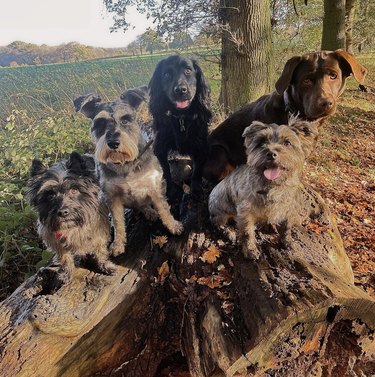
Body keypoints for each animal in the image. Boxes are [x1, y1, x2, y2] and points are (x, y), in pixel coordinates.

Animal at [26, 150, 117, 280]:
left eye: (74, 190)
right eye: (50, 196)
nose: (63, 212)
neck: (72, 226)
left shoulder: (100, 233)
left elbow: (100, 251)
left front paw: (105, 266)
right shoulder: (56, 242)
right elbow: (65, 258)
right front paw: (67, 272)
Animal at [74, 86, 184, 256]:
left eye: (125, 119)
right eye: (100, 123)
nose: (113, 142)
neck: (125, 164)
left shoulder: (154, 187)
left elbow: (164, 209)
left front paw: (173, 226)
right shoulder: (112, 197)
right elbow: (118, 223)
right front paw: (118, 245)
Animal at [149, 54, 213, 200]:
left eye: (188, 71)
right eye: (166, 74)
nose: (180, 90)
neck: (181, 117)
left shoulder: (200, 146)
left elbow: (197, 171)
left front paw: (196, 190)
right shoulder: (160, 147)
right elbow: (166, 171)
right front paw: (171, 191)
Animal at [209, 119, 320, 258]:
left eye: (287, 142)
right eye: (261, 142)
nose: (271, 154)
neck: (273, 186)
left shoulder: (288, 210)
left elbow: (286, 229)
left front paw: (289, 243)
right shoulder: (246, 211)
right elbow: (247, 232)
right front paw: (250, 249)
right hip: (222, 210)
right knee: (217, 222)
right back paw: (229, 232)